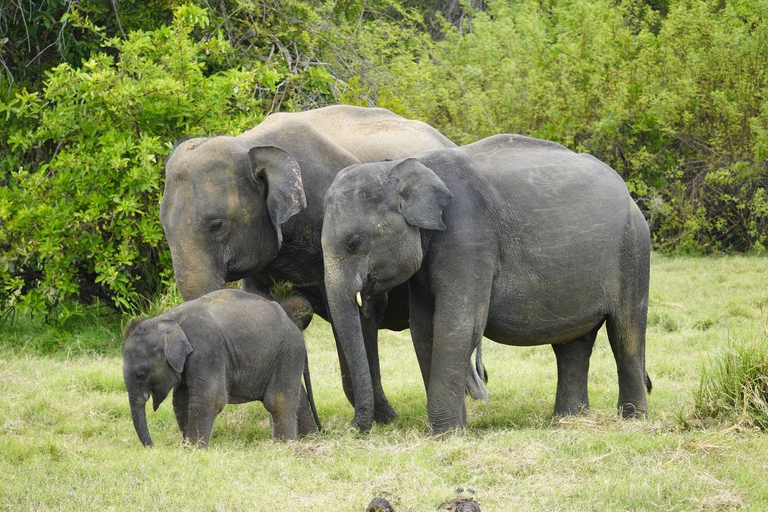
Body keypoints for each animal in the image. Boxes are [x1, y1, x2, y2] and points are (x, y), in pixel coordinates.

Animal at [123, 289, 321, 447]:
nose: (152, 446)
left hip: (288, 352)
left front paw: (194, 449)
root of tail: (295, 326)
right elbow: (181, 400)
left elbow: (210, 397)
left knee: (277, 400)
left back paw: (283, 446)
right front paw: (187, 447)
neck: (169, 319)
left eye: (141, 374)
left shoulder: (207, 350)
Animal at [160, 105, 488, 432]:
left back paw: (477, 398)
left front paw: (384, 419)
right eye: (163, 228)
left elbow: (362, 314)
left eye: (217, 225)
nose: (320, 428)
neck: (249, 144)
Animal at [321, 134, 653, 434]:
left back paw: (632, 420)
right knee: (573, 343)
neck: (401, 166)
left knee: (626, 333)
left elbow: (457, 324)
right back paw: (569, 420)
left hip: (633, 250)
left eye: (354, 243)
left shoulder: (469, 236)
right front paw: (454, 429)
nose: (352, 431)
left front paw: (443, 434)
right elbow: (424, 329)